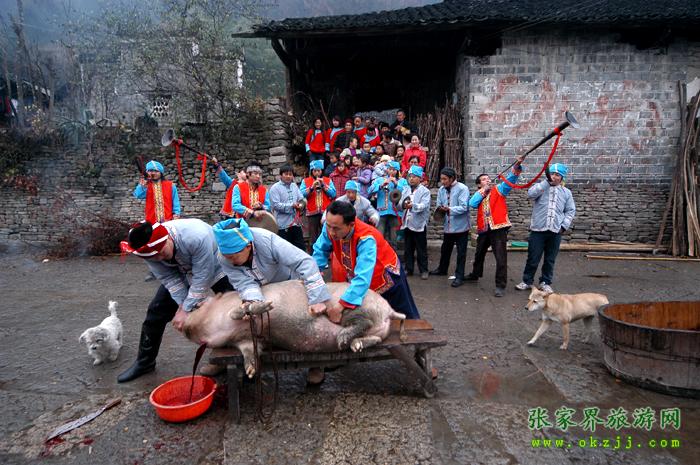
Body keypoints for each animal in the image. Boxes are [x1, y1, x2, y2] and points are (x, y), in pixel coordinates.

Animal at [183, 280, 406, 377]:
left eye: (198, 307)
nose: (183, 326)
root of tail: (389, 310)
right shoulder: (247, 339)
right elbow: (250, 351)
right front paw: (250, 372)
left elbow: (242, 310)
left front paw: (263, 306)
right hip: (378, 332)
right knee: (375, 338)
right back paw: (355, 345)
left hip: (349, 307)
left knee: (362, 322)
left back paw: (343, 339)